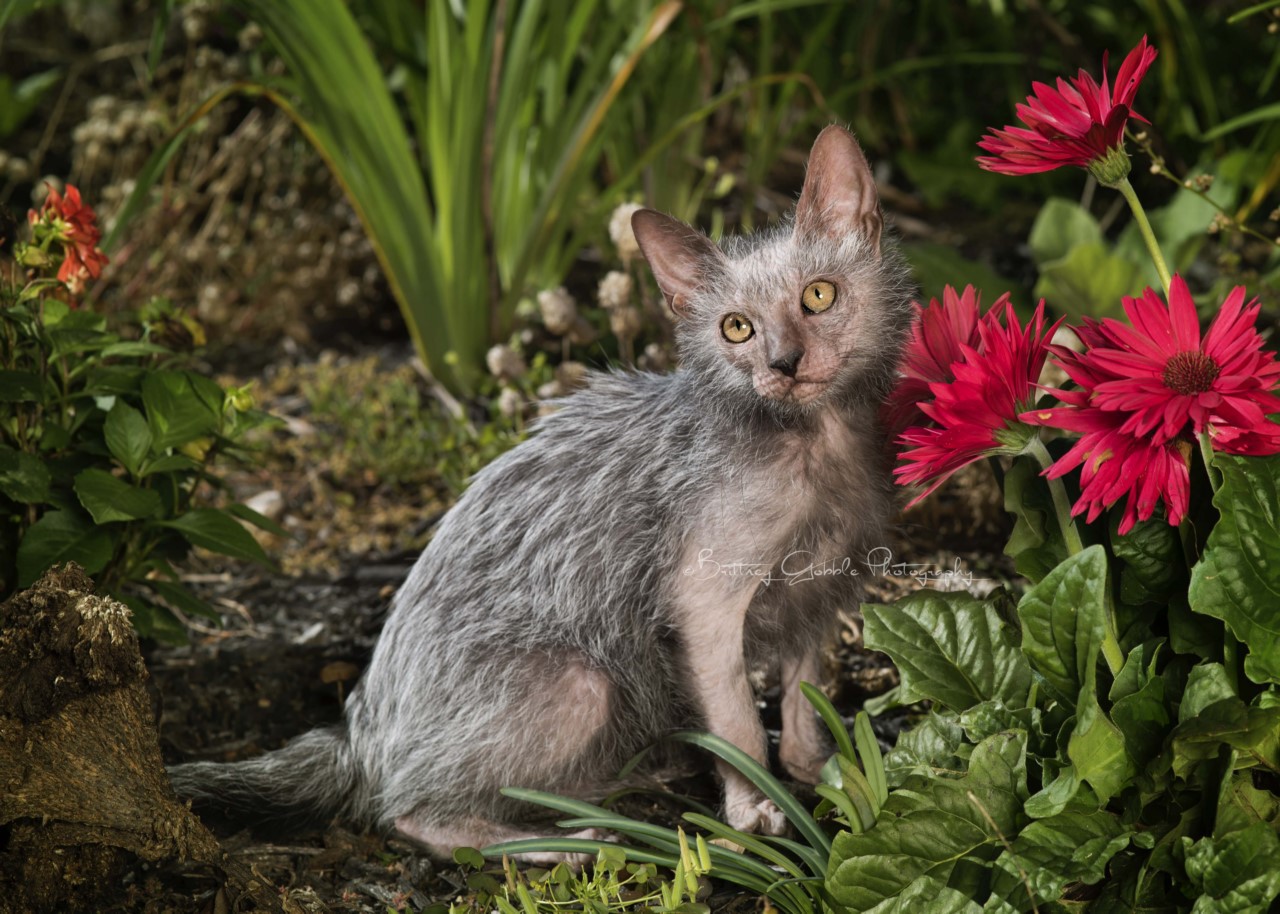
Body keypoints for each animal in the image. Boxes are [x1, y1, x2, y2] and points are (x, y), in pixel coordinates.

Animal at [170, 124, 916, 860]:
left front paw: (825, 772)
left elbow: (804, 695)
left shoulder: (820, 591)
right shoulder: (703, 603)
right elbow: (738, 724)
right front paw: (757, 810)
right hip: (580, 683)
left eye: (819, 295)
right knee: (411, 812)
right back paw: (567, 841)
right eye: (737, 328)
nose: (784, 364)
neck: (816, 445)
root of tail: (358, 733)